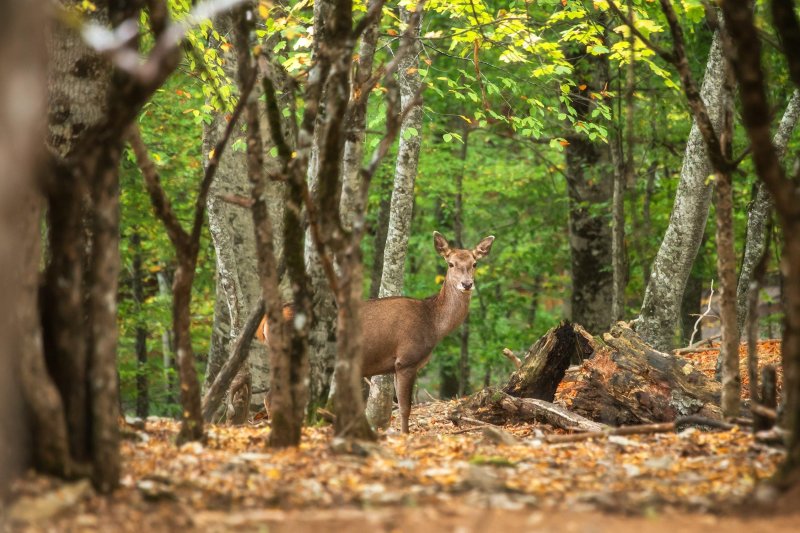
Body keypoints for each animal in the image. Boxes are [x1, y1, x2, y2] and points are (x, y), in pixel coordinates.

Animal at [256, 232, 494, 432]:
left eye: (474, 263)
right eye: (451, 263)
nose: (467, 284)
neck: (432, 323)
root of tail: (266, 322)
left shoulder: (396, 365)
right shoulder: (406, 359)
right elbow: (405, 408)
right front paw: (405, 436)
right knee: (270, 397)